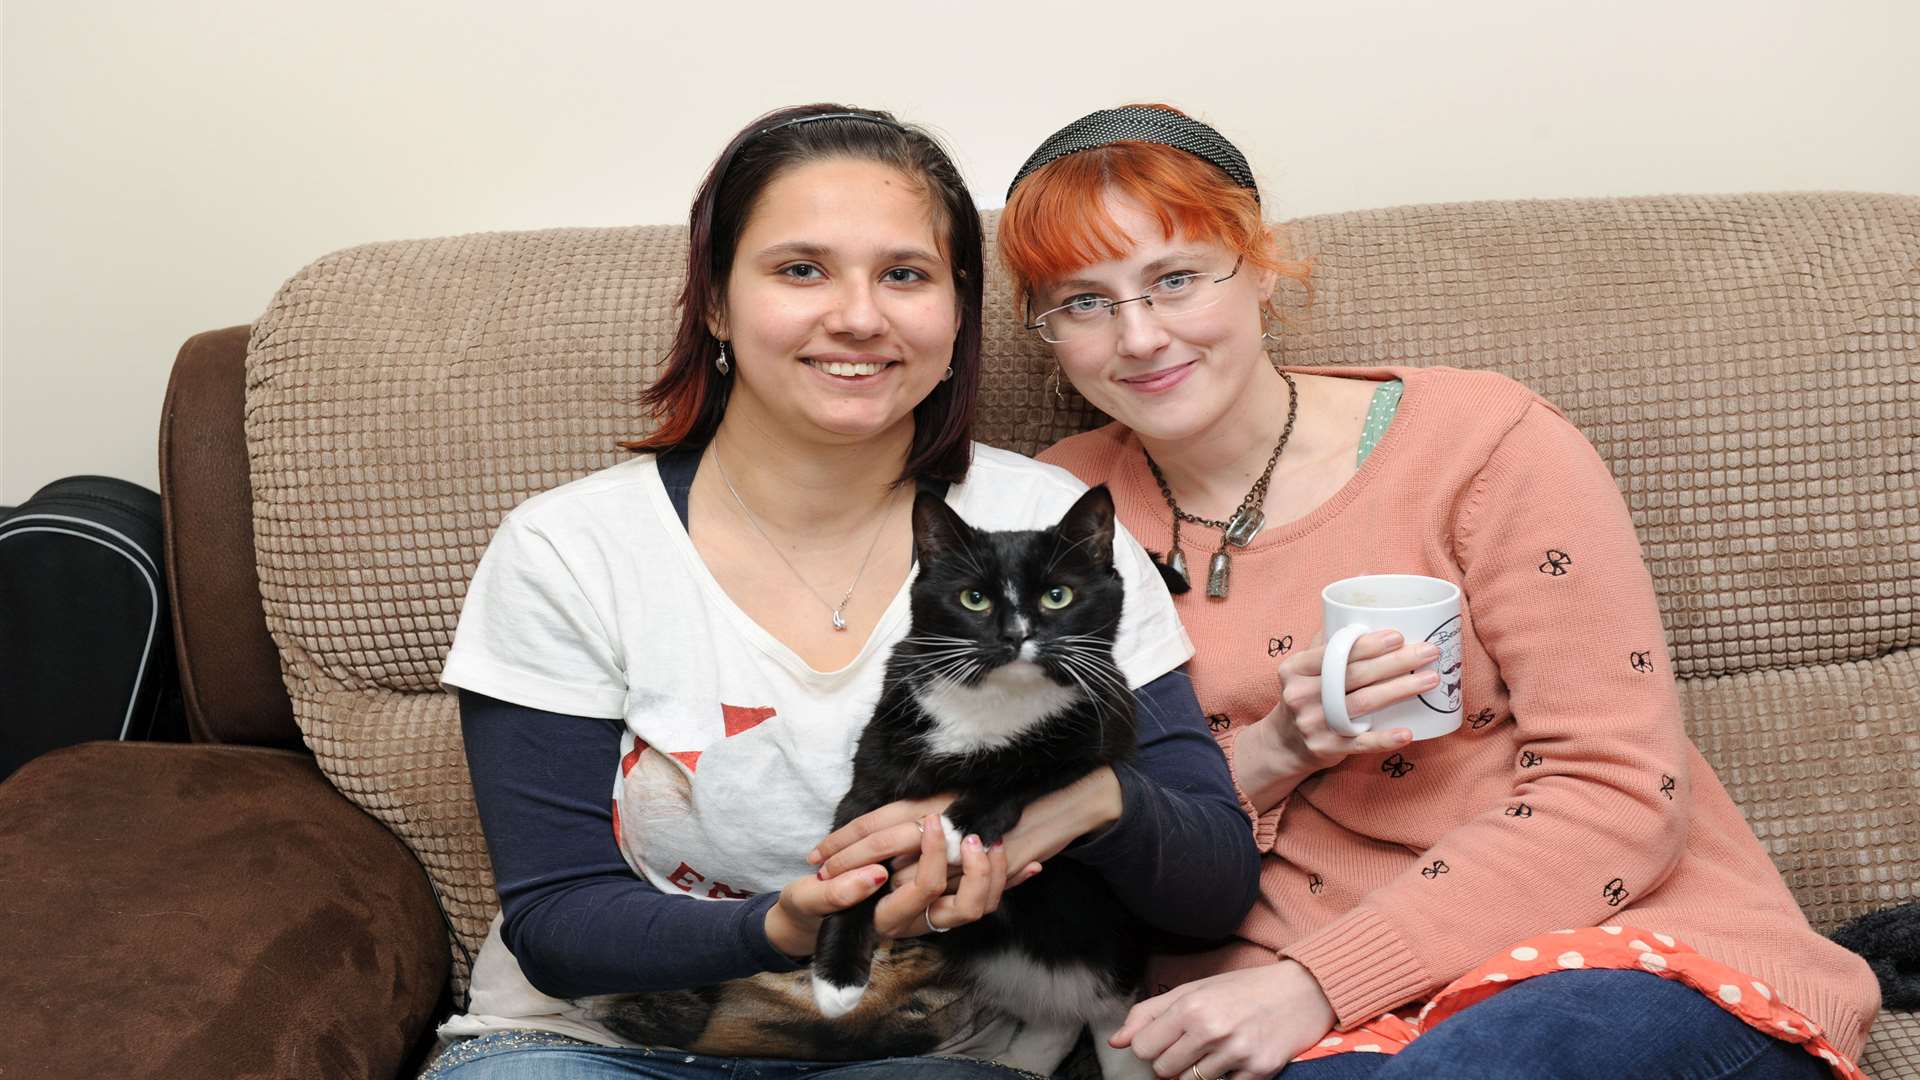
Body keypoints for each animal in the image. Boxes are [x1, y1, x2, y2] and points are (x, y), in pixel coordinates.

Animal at [806, 484, 1144, 1068]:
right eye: (974, 599)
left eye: (1058, 596)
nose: (1016, 635)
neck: (995, 699)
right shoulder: (879, 755)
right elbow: (856, 854)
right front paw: (836, 979)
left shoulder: (1109, 721)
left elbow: (1037, 763)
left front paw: (958, 825)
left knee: (1110, 1016)